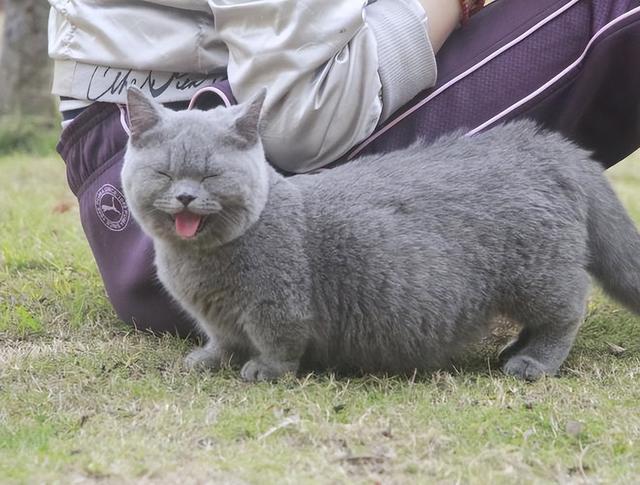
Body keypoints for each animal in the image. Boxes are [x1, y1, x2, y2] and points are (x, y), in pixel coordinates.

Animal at [120, 87, 640, 382]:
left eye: (210, 176)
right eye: (166, 174)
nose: (186, 197)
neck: (200, 265)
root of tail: (545, 147)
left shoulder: (279, 305)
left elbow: (277, 344)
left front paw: (264, 371)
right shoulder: (217, 317)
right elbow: (222, 339)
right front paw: (209, 360)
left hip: (538, 273)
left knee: (565, 314)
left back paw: (534, 363)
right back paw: (515, 348)